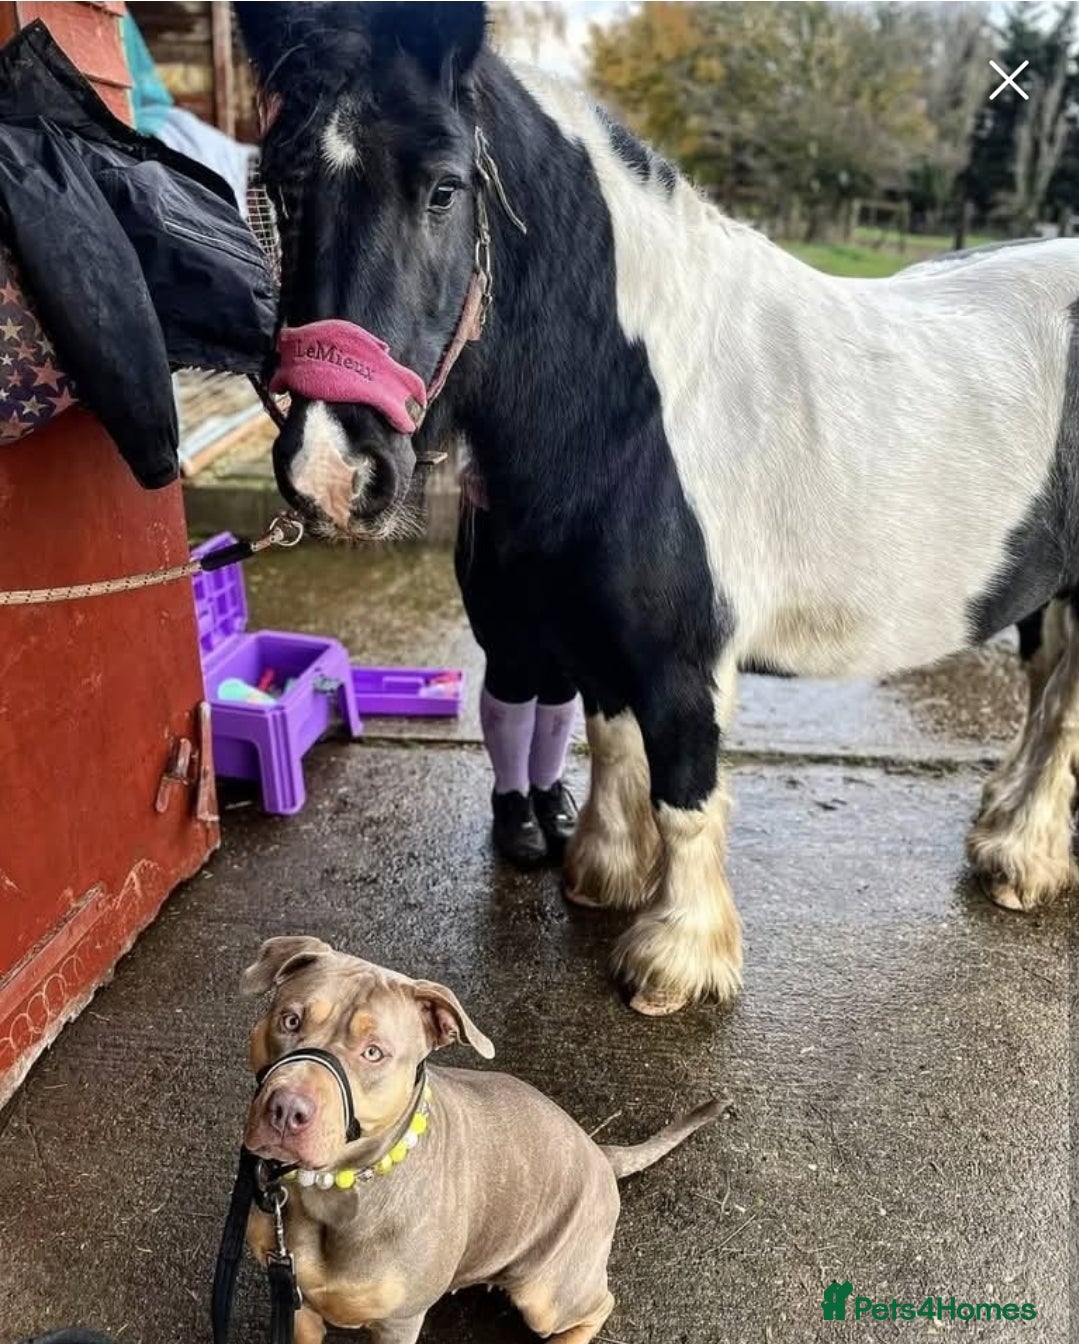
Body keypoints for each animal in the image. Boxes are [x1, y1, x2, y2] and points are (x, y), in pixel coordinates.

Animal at [235, 1, 1079, 1016]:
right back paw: (1002, 824)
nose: (331, 469)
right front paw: (603, 875)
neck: (640, 403)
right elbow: (612, 745)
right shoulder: (597, 634)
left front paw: (673, 960)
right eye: (283, 186)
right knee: (1043, 692)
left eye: (442, 188)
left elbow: (683, 790)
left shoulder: (683, 658)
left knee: (1061, 709)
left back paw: (1021, 860)